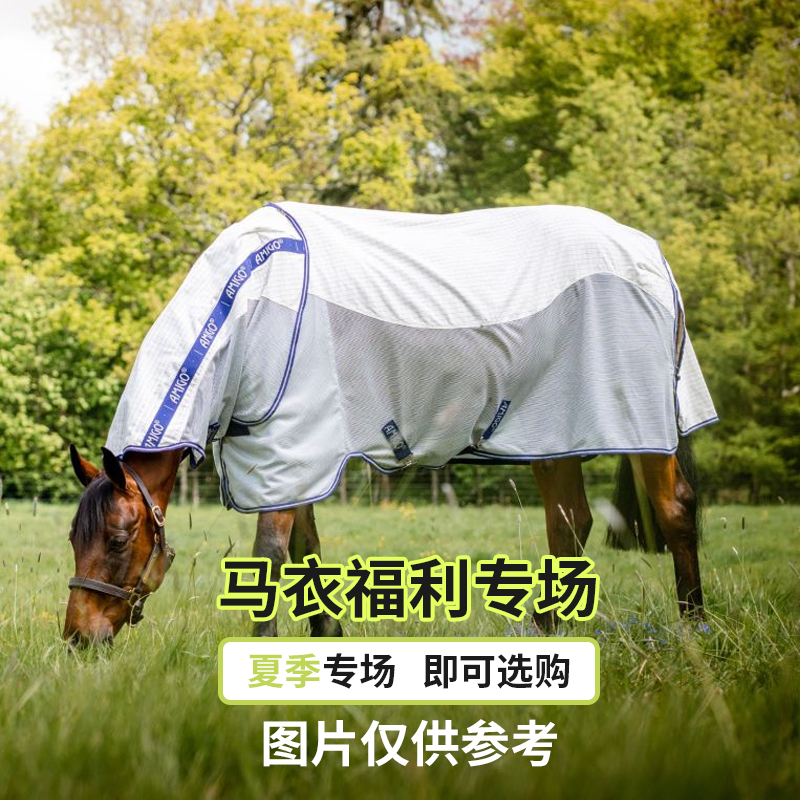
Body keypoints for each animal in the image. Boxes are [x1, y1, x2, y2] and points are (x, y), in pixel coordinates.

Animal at [63, 202, 717, 645]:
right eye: (73, 538)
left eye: (118, 539)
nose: (77, 637)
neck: (246, 310)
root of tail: (652, 256)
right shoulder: (299, 458)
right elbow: (306, 553)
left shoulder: (291, 450)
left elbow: (271, 555)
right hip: (553, 434)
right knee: (570, 523)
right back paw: (544, 636)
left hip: (637, 427)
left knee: (673, 509)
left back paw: (694, 627)